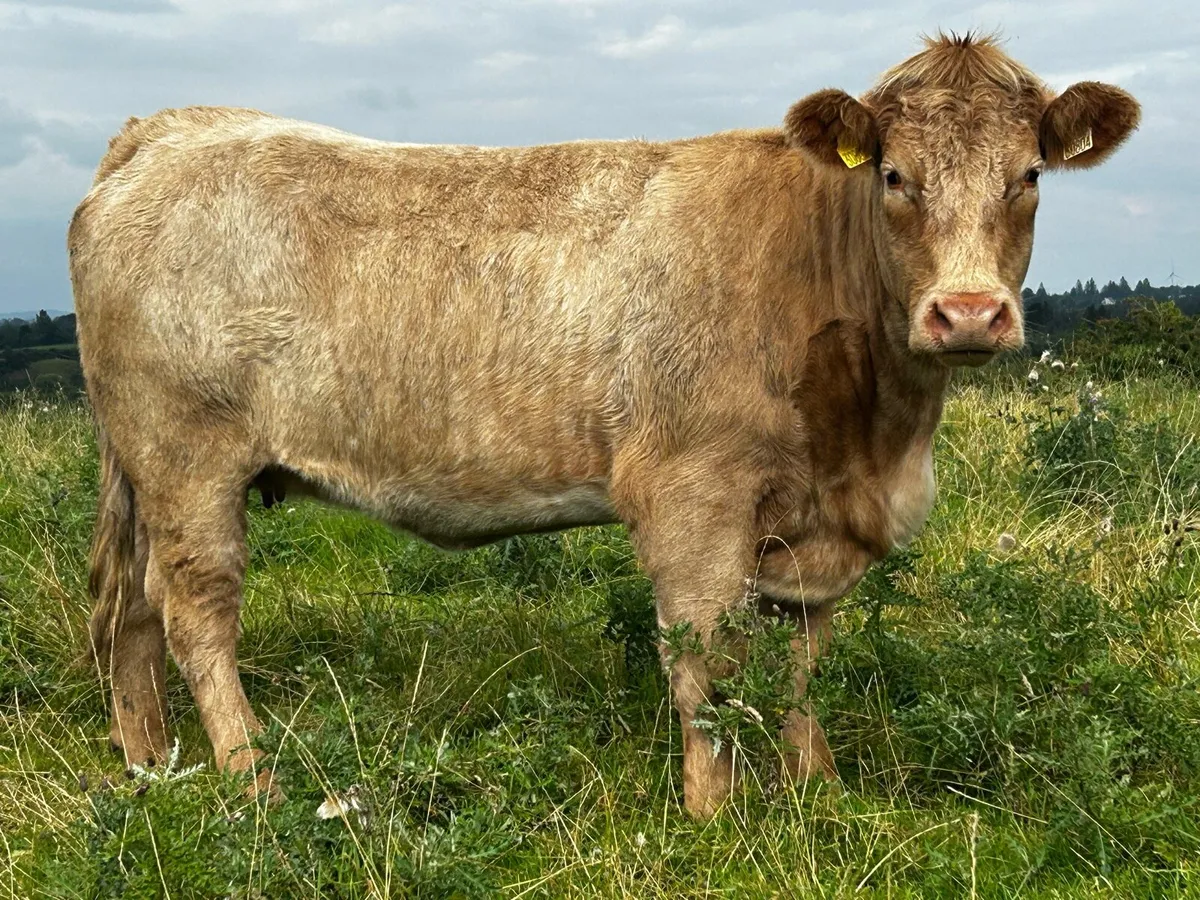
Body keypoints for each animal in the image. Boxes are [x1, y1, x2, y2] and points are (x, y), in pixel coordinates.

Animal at [70, 33, 1140, 819]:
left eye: (1030, 174)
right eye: (894, 176)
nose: (968, 313)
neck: (873, 442)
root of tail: (169, 129)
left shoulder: (814, 524)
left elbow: (799, 663)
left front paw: (819, 791)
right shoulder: (693, 491)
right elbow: (702, 657)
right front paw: (714, 814)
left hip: (143, 466)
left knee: (129, 612)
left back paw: (151, 767)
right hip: (188, 454)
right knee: (194, 611)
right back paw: (253, 779)